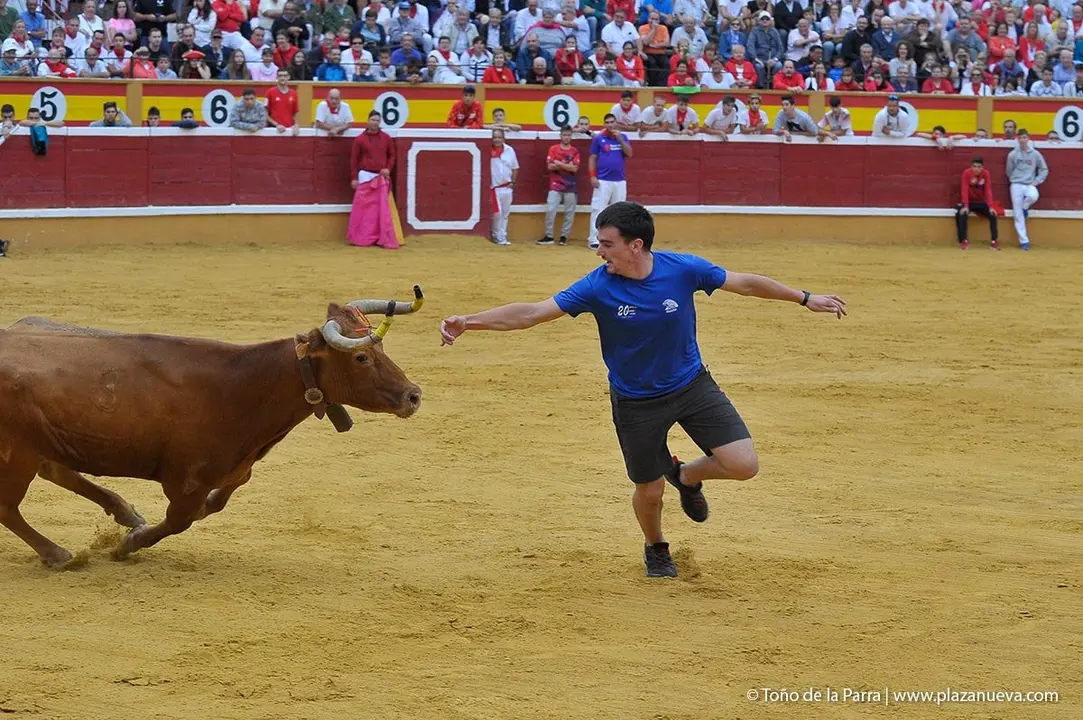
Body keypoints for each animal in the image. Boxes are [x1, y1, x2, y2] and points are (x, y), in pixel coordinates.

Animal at [0, 287, 425, 567]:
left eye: (380, 349)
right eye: (361, 358)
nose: (413, 395)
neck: (241, 385)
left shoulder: (235, 470)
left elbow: (215, 503)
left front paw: (131, 531)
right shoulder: (185, 482)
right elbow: (181, 519)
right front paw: (127, 545)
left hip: (40, 446)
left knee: (55, 472)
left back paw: (124, 512)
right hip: (17, 453)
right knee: (9, 506)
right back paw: (58, 554)